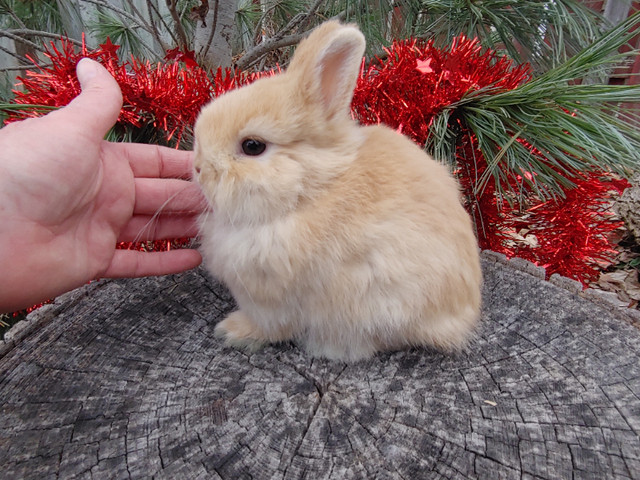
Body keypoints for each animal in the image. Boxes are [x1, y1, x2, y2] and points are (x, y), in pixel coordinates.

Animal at [192, 20, 482, 362]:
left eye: (252, 146)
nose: (198, 168)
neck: (308, 193)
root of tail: (464, 316)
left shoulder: (273, 302)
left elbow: (270, 326)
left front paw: (232, 331)